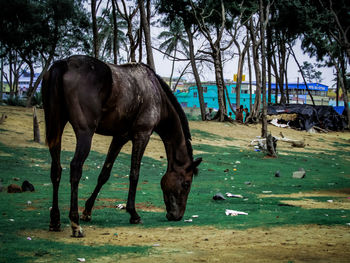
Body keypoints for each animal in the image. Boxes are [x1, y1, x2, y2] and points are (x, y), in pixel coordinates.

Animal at [42, 54, 202, 238]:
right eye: (186, 184)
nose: (177, 216)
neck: (156, 94)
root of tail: (65, 63)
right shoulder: (142, 135)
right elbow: (134, 174)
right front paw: (133, 214)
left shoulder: (120, 137)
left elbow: (104, 174)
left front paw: (88, 211)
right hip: (85, 133)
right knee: (75, 168)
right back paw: (75, 224)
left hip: (57, 127)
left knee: (56, 170)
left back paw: (55, 220)